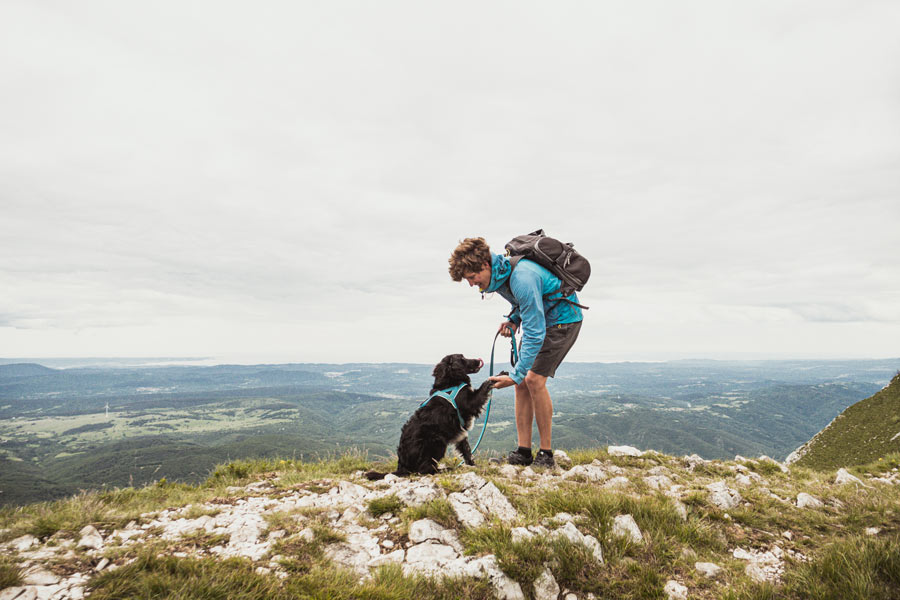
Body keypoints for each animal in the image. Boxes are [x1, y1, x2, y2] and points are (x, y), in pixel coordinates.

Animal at [364, 354, 496, 480]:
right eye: (462, 358)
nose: (479, 360)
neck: (449, 382)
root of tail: (403, 467)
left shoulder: (461, 431)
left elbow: (466, 450)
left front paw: (472, 465)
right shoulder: (470, 403)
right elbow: (483, 388)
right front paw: (496, 377)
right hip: (436, 442)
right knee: (425, 469)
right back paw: (445, 469)